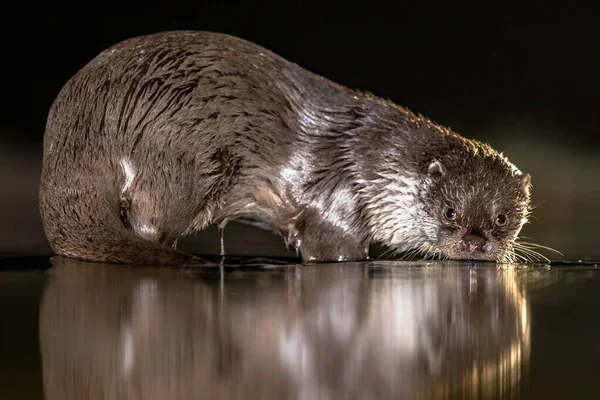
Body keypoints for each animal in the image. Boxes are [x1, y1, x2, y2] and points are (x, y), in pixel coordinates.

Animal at [38, 29, 536, 264]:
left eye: (502, 218)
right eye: (450, 211)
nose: (475, 242)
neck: (375, 163)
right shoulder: (338, 202)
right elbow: (334, 248)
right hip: (180, 157)